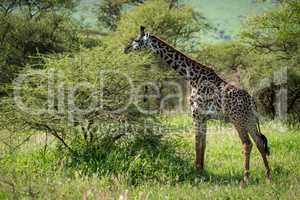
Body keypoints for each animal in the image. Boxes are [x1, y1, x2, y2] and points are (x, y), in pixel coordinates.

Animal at [124, 26, 272, 181]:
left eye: (136, 40)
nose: (126, 48)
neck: (192, 77)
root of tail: (252, 102)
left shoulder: (196, 114)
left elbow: (197, 142)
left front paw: (196, 170)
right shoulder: (204, 116)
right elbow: (203, 143)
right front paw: (201, 169)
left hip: (238, 120)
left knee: (247, 144)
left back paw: (246, 177)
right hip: (250, 120)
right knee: (259, 142)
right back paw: (268, 175)